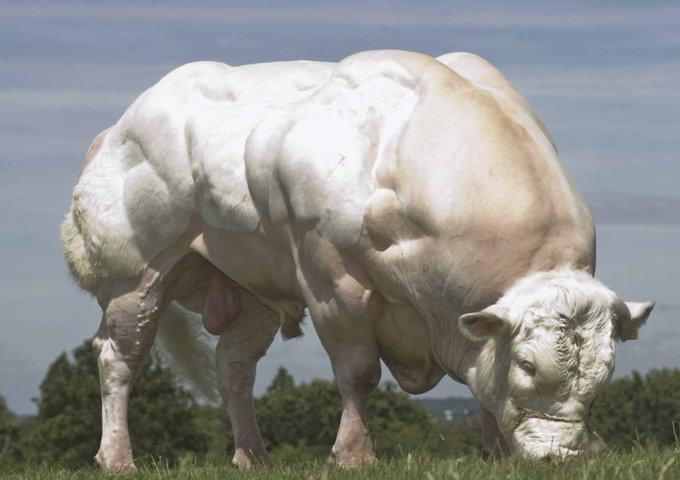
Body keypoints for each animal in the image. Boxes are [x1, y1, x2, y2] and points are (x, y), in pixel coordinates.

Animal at [61, 50, 654, 472]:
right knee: (119, 359)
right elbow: (359, 371)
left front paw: (497, 453)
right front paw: (354, 454)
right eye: (529, 365)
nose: (563, 456)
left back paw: (252, 456)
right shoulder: (332, 277)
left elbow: (484, 384)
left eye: (606, 373)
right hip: (135, 275)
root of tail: (117, 129)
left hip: (251, 290)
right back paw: (117, 458)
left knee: (234, 368)